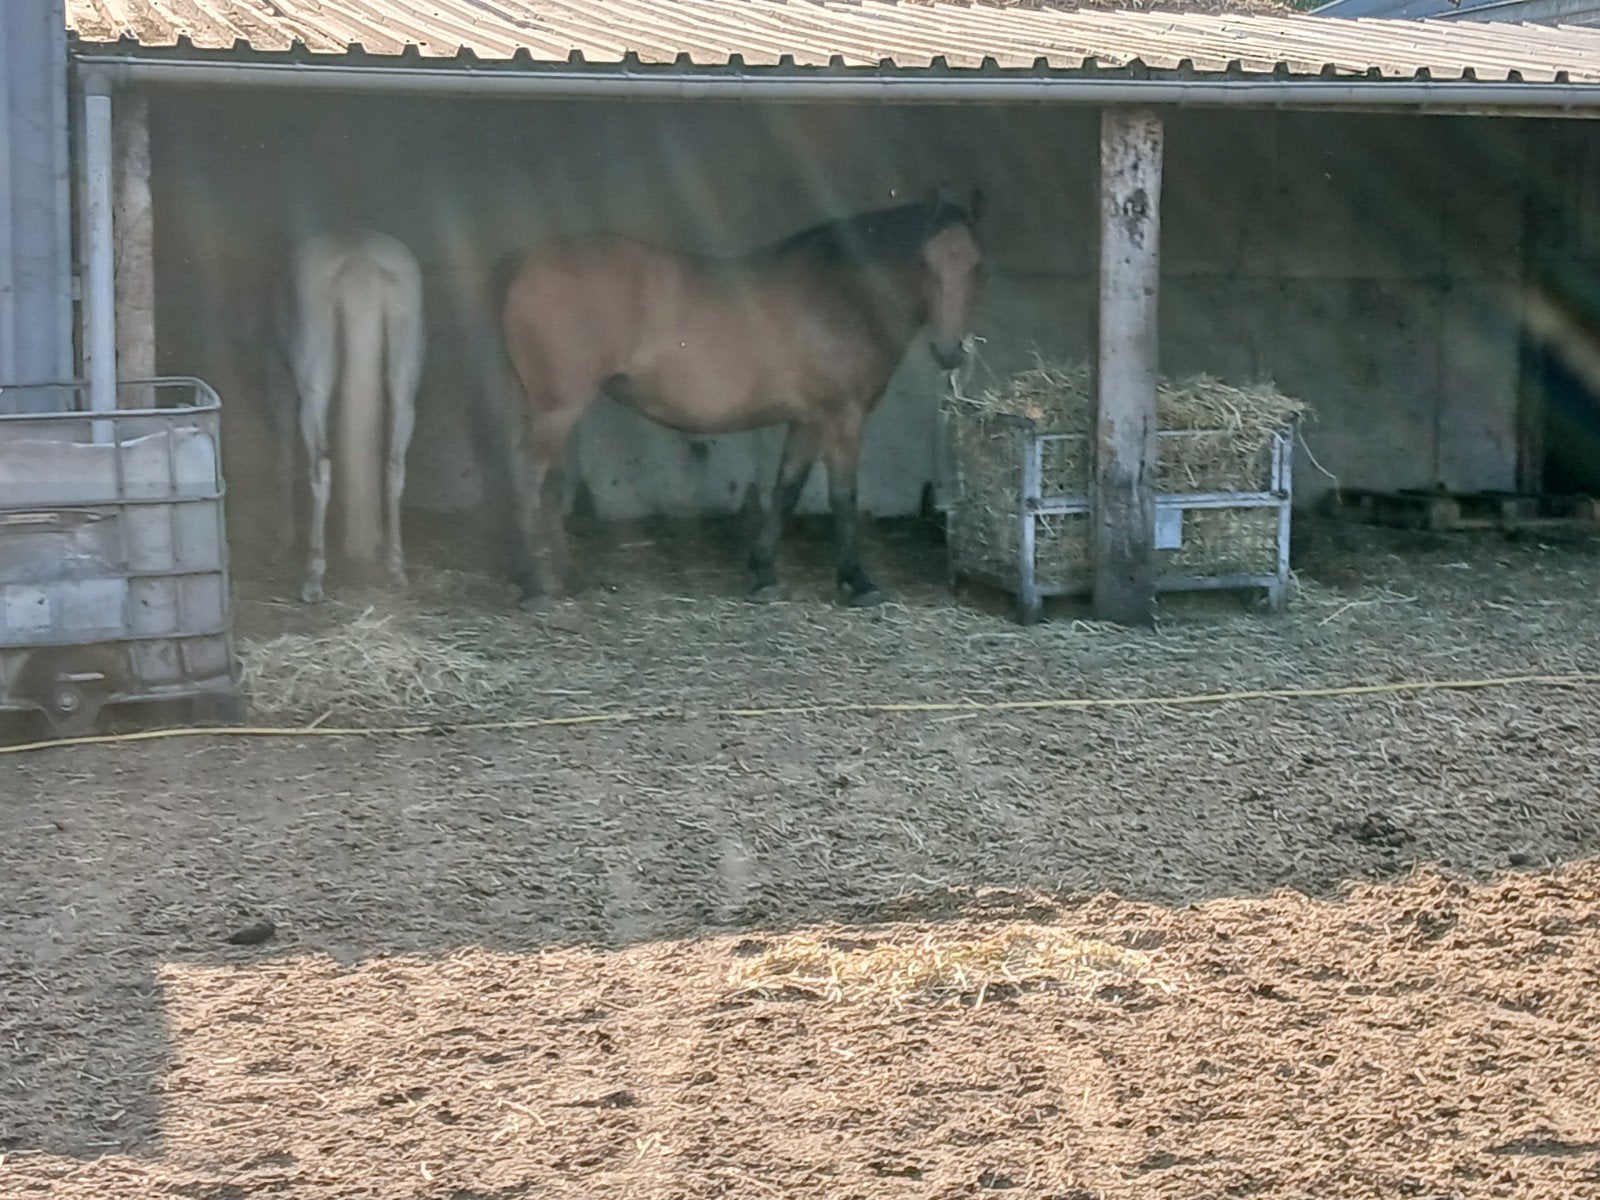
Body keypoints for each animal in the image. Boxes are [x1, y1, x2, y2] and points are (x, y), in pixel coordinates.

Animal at [271, 230, 425, 603]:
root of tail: (360, 259)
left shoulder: (279, 382)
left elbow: (283, 460)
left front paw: (283, 542)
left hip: (313, 390)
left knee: (321, 466)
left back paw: (312, 579)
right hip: (404, 387)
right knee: (395, 466)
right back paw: (395, 568)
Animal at [493, 185, 984, 611]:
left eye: (975, 266)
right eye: (925, 262)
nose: (949, 352)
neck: (841, 296)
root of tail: (526, 260)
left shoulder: (808, 420)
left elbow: (785, 490)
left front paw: (763, 573)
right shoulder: (843, 417)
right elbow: (843, 496)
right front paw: (858, 581)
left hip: (546, 409)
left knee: (549, 486)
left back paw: (568, 578)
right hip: (558, 410)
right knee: (526, 481)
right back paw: (533, 587)